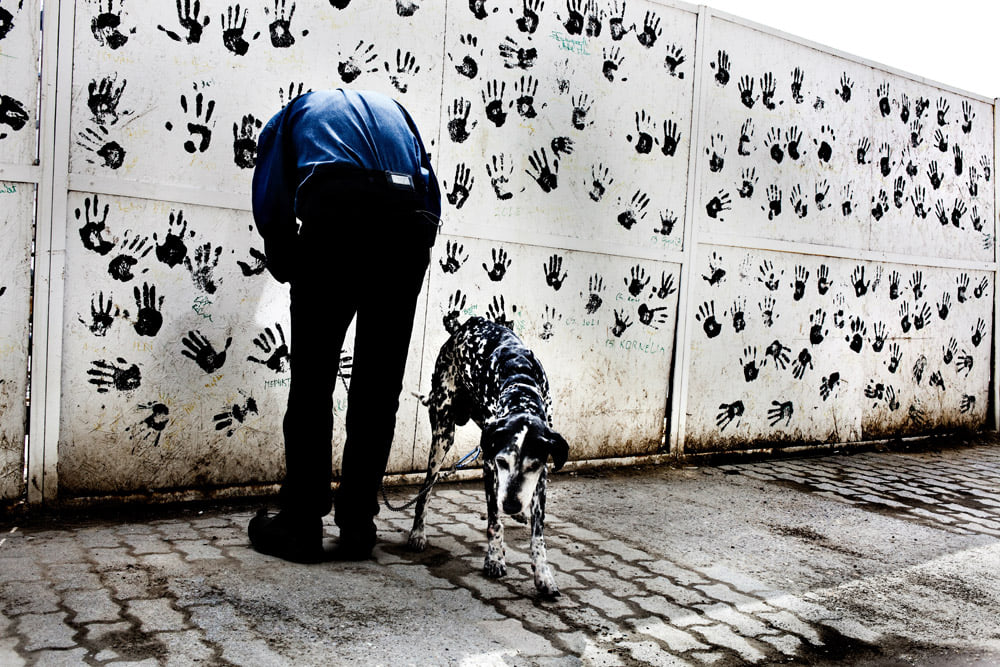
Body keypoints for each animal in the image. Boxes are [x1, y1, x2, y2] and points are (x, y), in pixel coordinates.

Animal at [406, 316, 568, 596]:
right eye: (503, 462)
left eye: (533, 466)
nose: (511, 504)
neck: (520, 384)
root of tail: (465, 325)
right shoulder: (490, 467)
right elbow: (494, 520)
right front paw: (494, 558)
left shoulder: (541, 476)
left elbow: (538, 534)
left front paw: (543, 574)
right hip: (443, 436)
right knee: (425, 490)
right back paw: (418, 533)